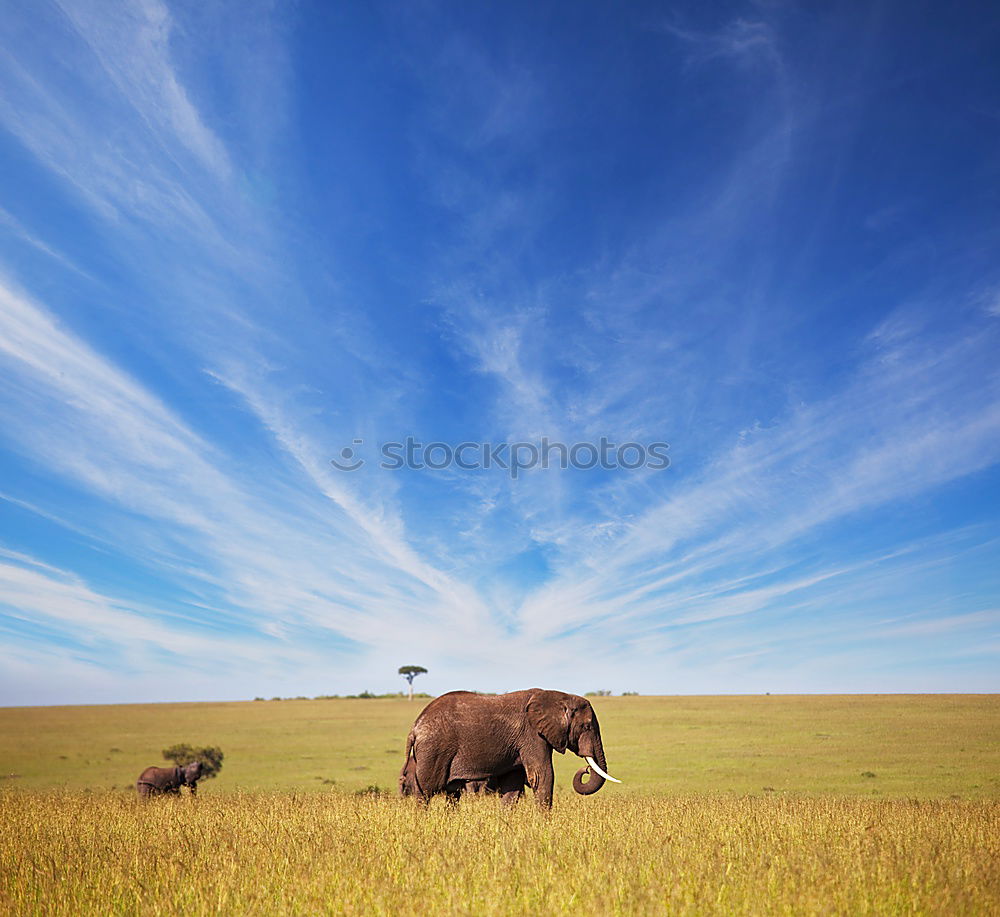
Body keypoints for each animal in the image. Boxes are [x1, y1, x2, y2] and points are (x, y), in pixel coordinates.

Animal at [396, 688, 616, 808]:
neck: (557, 696)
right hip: (434, 749)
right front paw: (545, 825)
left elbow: (513, 785)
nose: (585, 769)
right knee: (426, 790)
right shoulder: (532, 735)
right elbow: (542, 775)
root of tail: (414, 728)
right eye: (586, 727)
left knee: (452, 793)